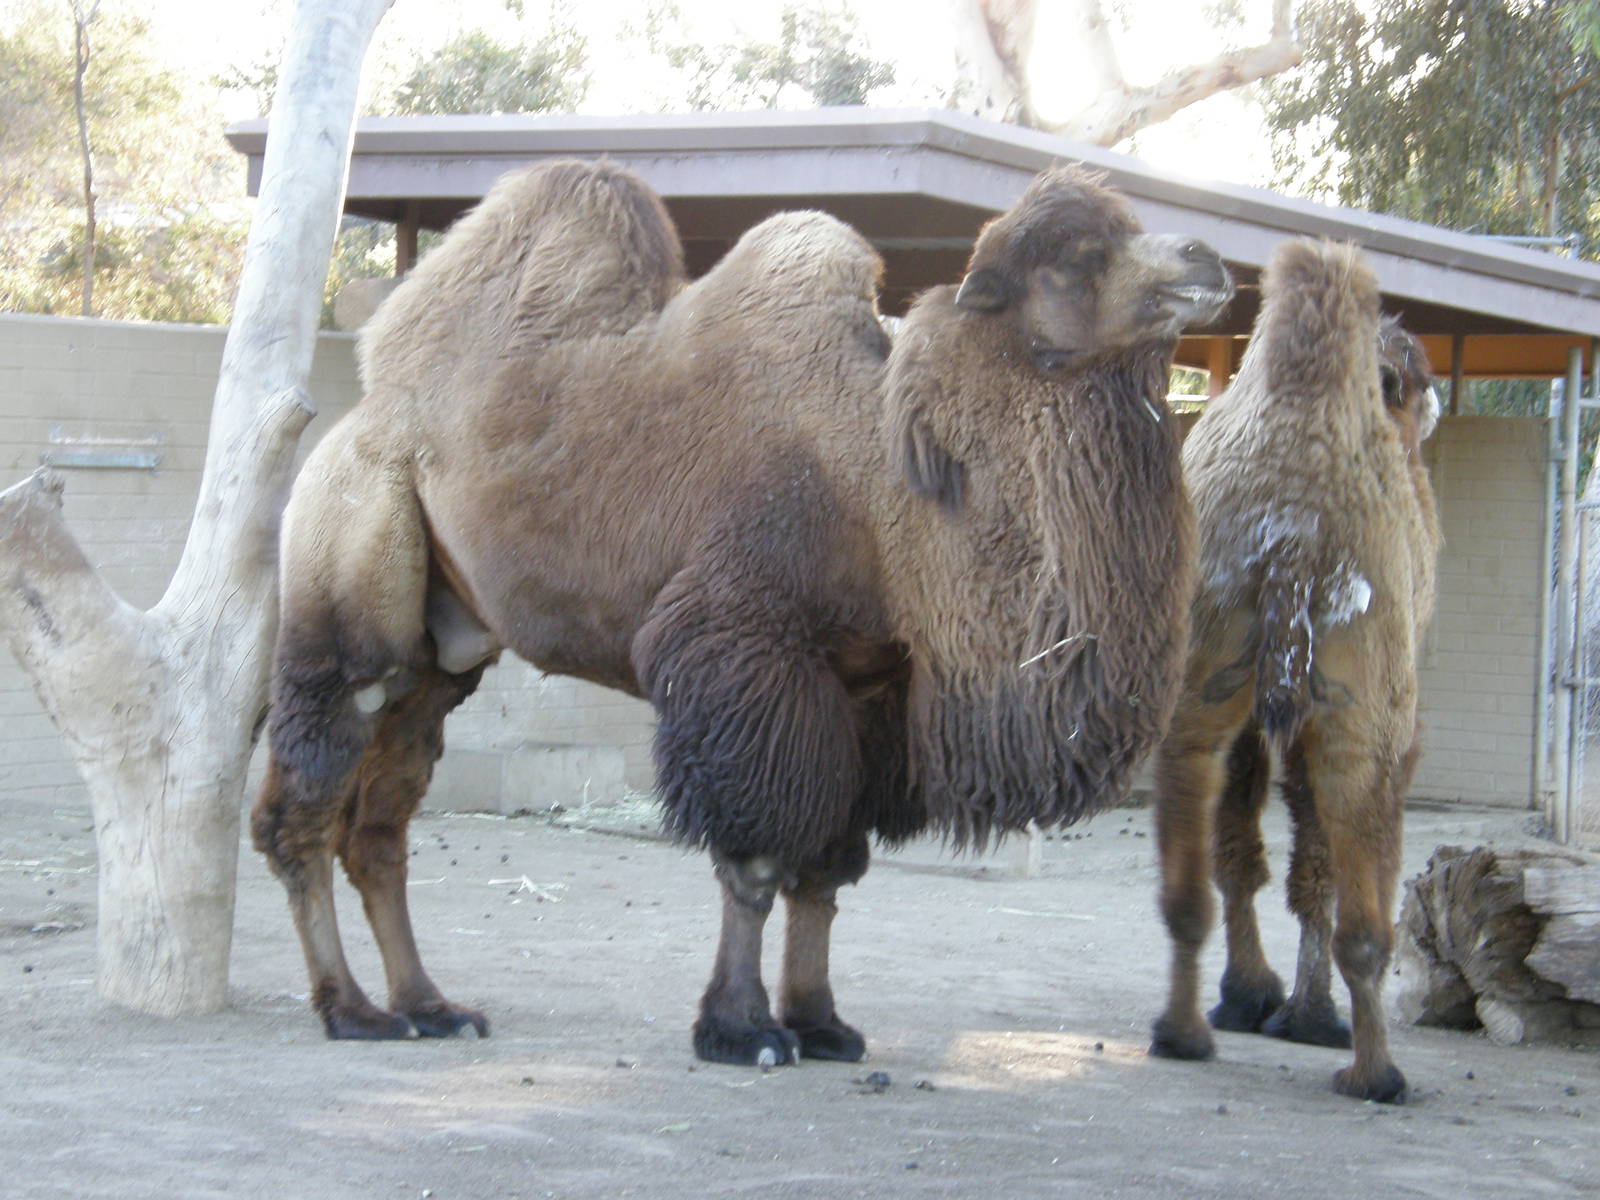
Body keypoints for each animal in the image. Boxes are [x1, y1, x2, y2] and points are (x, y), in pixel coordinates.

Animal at [251, 158, 1234, 1064]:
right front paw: (742, 1028)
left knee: (380, 826)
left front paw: (821, 1021)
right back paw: (353, 1011)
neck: (883, 480)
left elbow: (828, 866)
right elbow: (758, 854)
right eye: (1078, 257)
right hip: (350, 583)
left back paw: (432, 1005)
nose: (1205, 255)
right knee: (307, 798)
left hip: (440, 659)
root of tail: (357, 420)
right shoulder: (743, 648)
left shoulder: (868, 691)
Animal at [1148, 239, 1441, 1104]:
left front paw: (1255, 999)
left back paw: (1184, 1032)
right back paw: (1370, 1068)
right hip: (1361, 710)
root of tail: (1295, 529)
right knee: (1355, 894)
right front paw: (1296, 1012)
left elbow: (1245, 846)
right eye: (1412, 385)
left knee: (1195, 860)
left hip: (1201, 675)